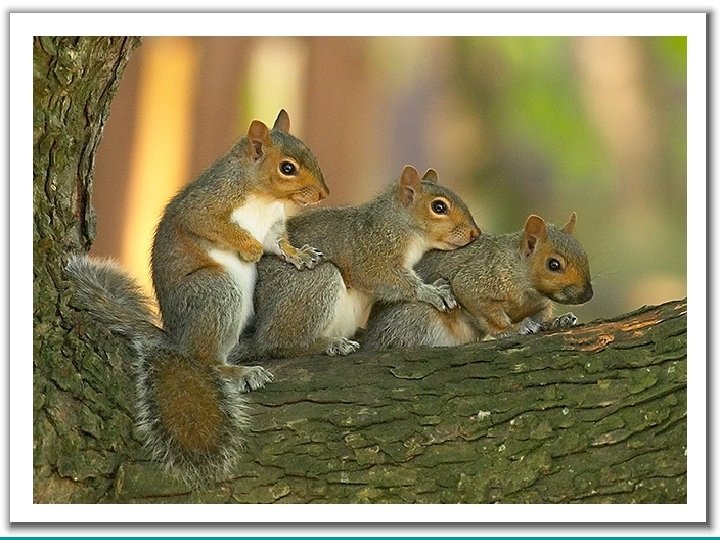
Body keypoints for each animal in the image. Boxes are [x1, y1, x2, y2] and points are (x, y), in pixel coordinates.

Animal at [66, 109, 329, 485]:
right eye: (287, 168)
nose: (323, 194)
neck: (264, 198)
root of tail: (178, 341)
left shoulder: (273, 227)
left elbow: (279, 244)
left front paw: (299, 255)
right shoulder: (207, 205)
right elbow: (212, 226)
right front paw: (249, 249)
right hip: (215, 291)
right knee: (204, 361)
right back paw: (235, 372)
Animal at [229, 165, 481, 362]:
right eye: (439, 207)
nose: (474, 233)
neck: (399, 224)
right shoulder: (371, 252)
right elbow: (384, 278)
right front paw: (431, 292)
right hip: (313, 284)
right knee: (278, 344)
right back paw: (328, 344)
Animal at [362, 213, 593, 349]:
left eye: (584, 254)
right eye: (553, 265)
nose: (588, 294)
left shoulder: (541, 305)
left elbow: (541, 317)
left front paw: (557, 321)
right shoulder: (476, 282)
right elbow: (490, 317)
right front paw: (513, 329)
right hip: (416, 319)